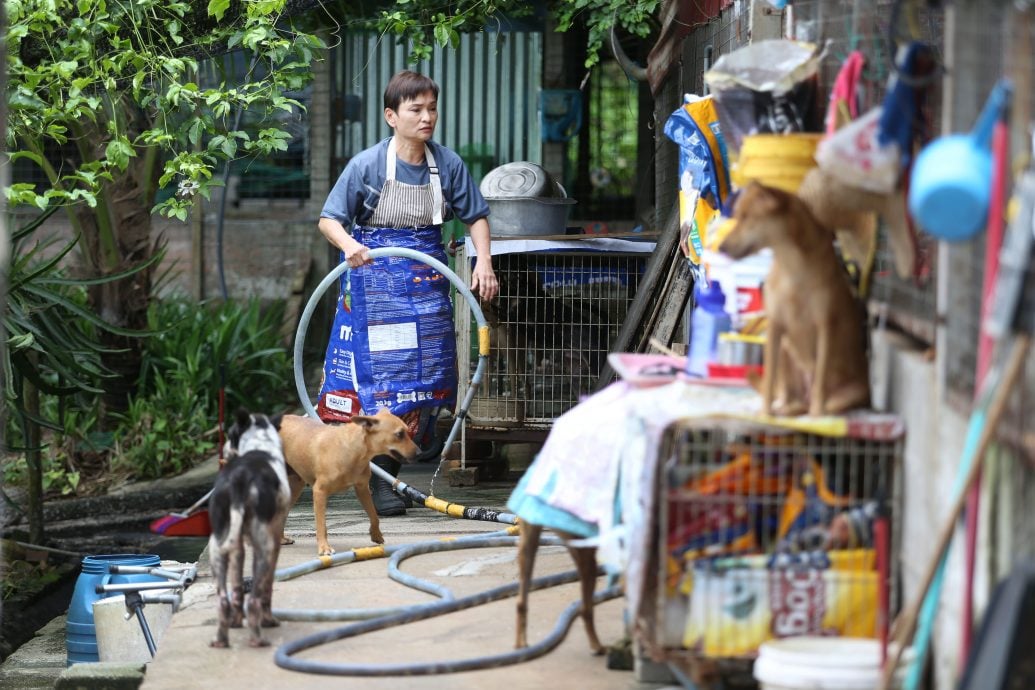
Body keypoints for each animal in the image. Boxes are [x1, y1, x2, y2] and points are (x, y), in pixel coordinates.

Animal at [208, 409, 291, 649]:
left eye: (230, 434)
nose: (225, 450)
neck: (259, 445)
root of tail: (239, 479)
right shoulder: (274, 538)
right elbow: (267, 587)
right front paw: (269, 620)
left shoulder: (238, 546)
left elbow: (237, 587)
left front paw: (236, 622)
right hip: (264, 546)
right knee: (255, 598)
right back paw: (258, 638)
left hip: (217, 545)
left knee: (225, 599)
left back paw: (221, 640)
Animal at [279, 409, 420, 554]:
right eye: (399, 434)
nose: (419, 453)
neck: (352, 450)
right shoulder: (319, 492)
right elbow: (321, 525)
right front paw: (324, 547)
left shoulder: (362, 489)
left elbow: (374, 516)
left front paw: (376, 534)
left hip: (295, 489)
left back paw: (281, 539)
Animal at [720, 181, 873, 415]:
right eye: (737, 216)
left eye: (747, 217)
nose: (721, 248)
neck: (790, 264)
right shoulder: (775, 326)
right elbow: (769, 378)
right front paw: (764, 415)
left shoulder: (825, 327)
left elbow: (820, 378)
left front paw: (817, 417)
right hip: (785, 351)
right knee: (788, 397)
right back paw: (782, 410)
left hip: (854, 392)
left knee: (820, 401)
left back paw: (812, 411)